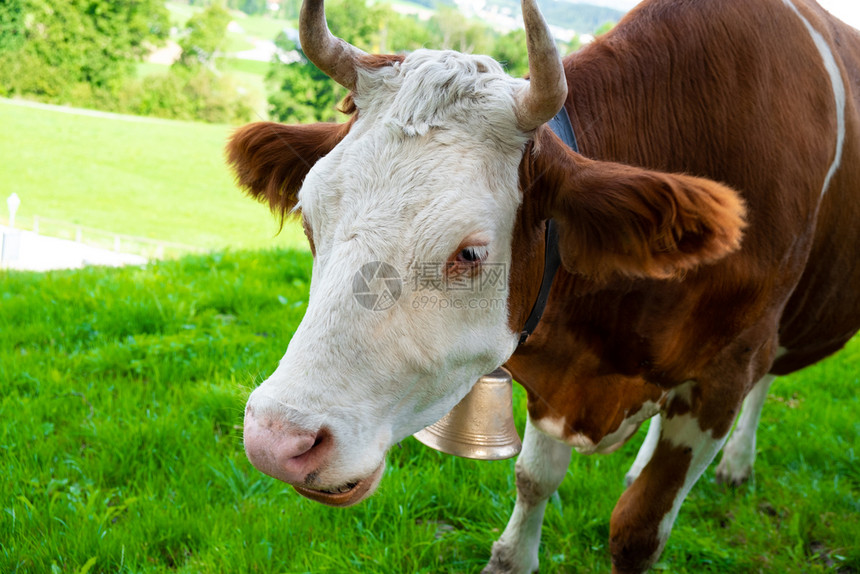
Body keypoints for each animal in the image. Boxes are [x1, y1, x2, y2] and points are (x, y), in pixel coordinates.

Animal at [228, 1, 860, 572]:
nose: (276, 440)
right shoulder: (555, 380)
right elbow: (533, 479)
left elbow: (637, 532)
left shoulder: (723, 376)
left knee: (766, 377)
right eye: (309, 220)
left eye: (470, 253)